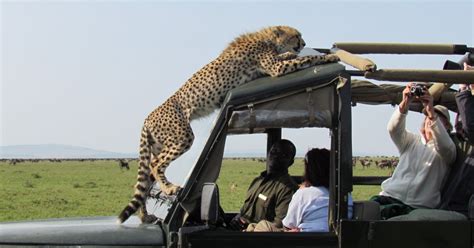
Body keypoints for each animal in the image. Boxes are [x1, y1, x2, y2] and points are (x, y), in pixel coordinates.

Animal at [118, 25, 340, 223]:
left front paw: (296, 54)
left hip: (160, 145)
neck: (267, 39)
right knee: (155, 165)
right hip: (182, 137)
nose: (303, 43)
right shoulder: (275, 68)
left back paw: (145, 216)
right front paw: (328, 58)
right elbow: (304, 59)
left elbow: (291, 57)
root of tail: (148, 117)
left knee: (144, 181)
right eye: (296, 35)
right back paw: (169, 189)